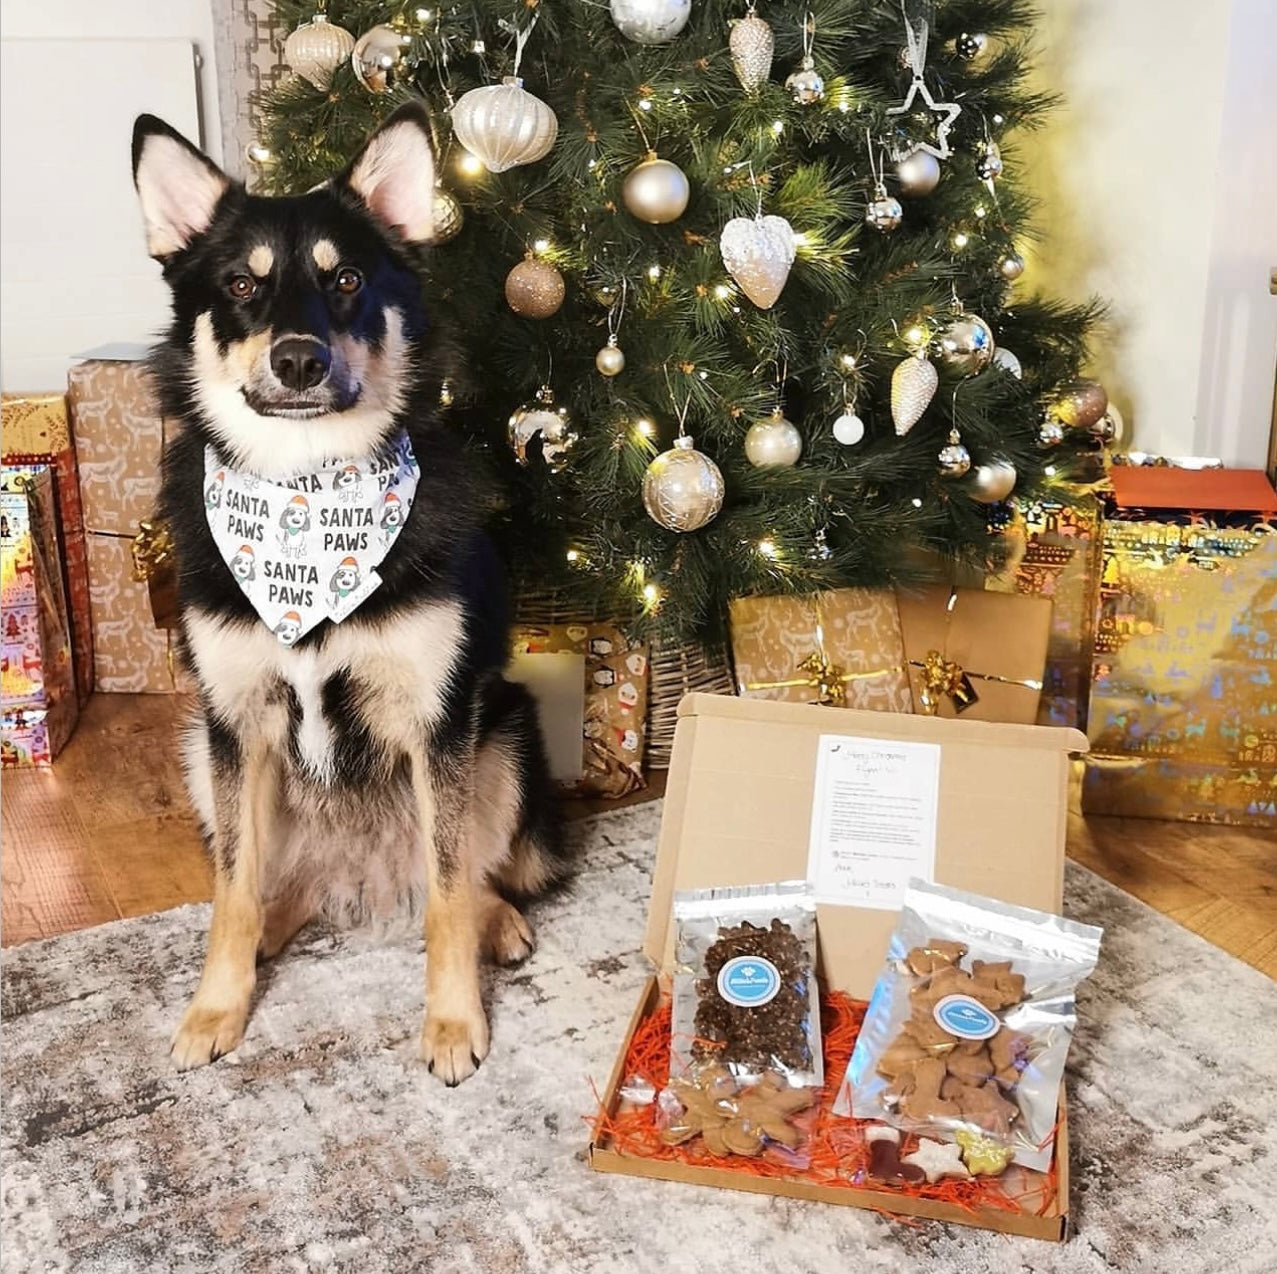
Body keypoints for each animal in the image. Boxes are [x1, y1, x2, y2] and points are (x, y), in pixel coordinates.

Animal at [132, 107, 566, 1087]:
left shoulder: (440, 722)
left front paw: (452, 1023)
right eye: (241, 284)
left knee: (470, 872)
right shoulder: (235, 721)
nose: (298, 360)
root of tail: (360, 880)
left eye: (347, 279)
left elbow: (447, 895)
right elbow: (231, 893)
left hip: (507, 733)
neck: (305, 499)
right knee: (272, 881)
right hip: (200, 756)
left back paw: (499, 920)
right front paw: (216, 1007)